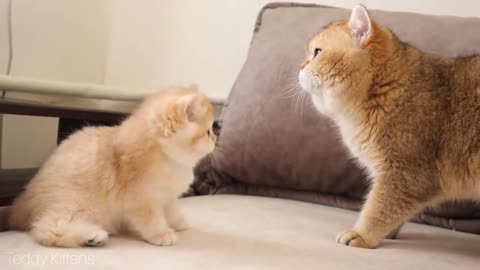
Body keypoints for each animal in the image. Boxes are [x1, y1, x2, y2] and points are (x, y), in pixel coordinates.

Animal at [7, 86, 217, 247]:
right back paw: (92, 236)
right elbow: (152, 219)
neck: (166, 156)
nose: (216, 139)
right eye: (208, 132)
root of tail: (21, 206)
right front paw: (162, 233)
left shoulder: (168, 195)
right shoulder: (142, 200)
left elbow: (172, 210)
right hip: (74, 205)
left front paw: (178, 223)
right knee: (47, 229)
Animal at [298, 4, 478, 249]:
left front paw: (362, 234)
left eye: (317, 52)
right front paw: (388, 233)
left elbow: (379, 208)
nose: (300, 67)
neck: (386, 88)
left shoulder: (404, 174)